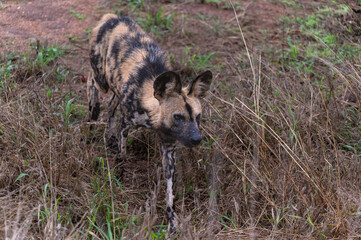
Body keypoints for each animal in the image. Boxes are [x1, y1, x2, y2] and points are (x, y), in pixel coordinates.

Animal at [87, 13, 211, 231]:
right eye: (178, 117)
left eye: (197, 117)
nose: (197, 139)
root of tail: (112, 17)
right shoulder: (126, 125)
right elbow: (123, 156)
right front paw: (119, 177)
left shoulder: (169, 149)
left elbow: (170, 193)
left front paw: (172, 221)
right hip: (102, 80)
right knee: (91, 80)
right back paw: (93, 109)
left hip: (115, 88)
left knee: (110, 107)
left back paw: (109, 137)